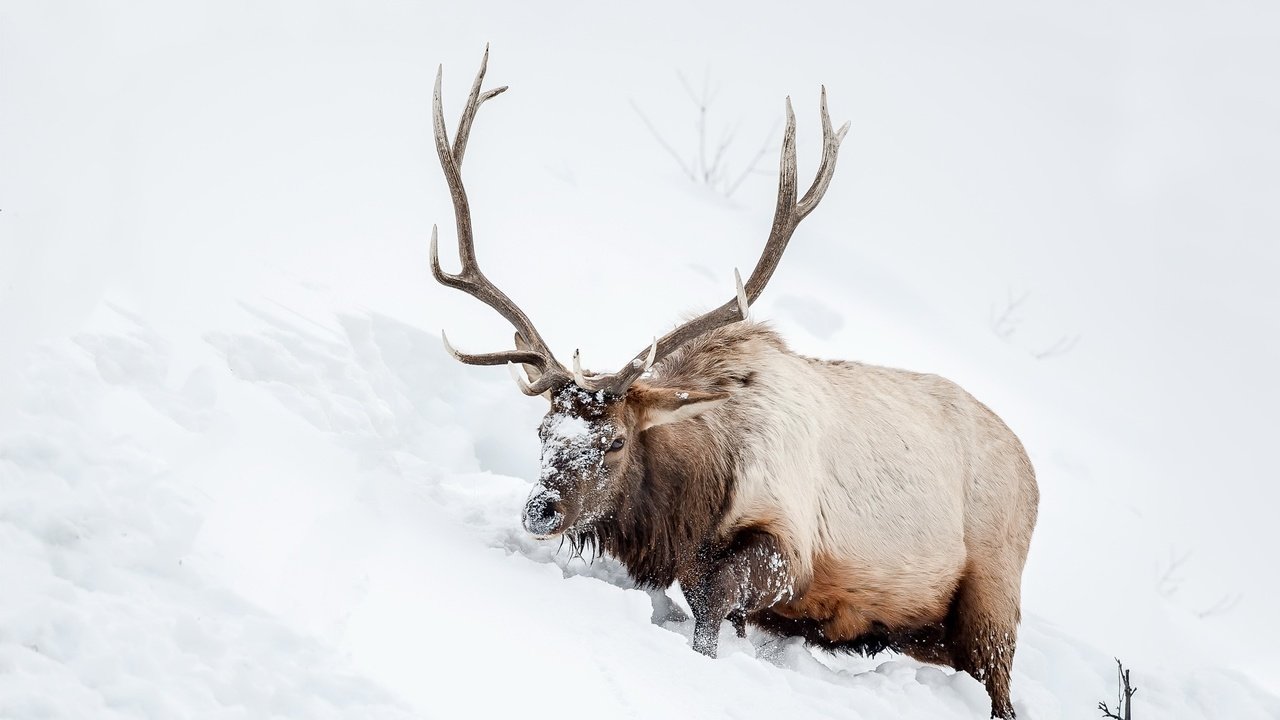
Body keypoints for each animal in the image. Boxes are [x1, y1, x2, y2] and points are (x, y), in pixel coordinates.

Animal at [427, 47, 1039, 712]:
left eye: (615, 441)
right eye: (543, 431)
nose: (542, 510)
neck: (692, 503)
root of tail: (1030, 468)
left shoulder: (789, 546)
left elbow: (712, 607)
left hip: (994, 594)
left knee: (1000, 683)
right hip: (925, 629)